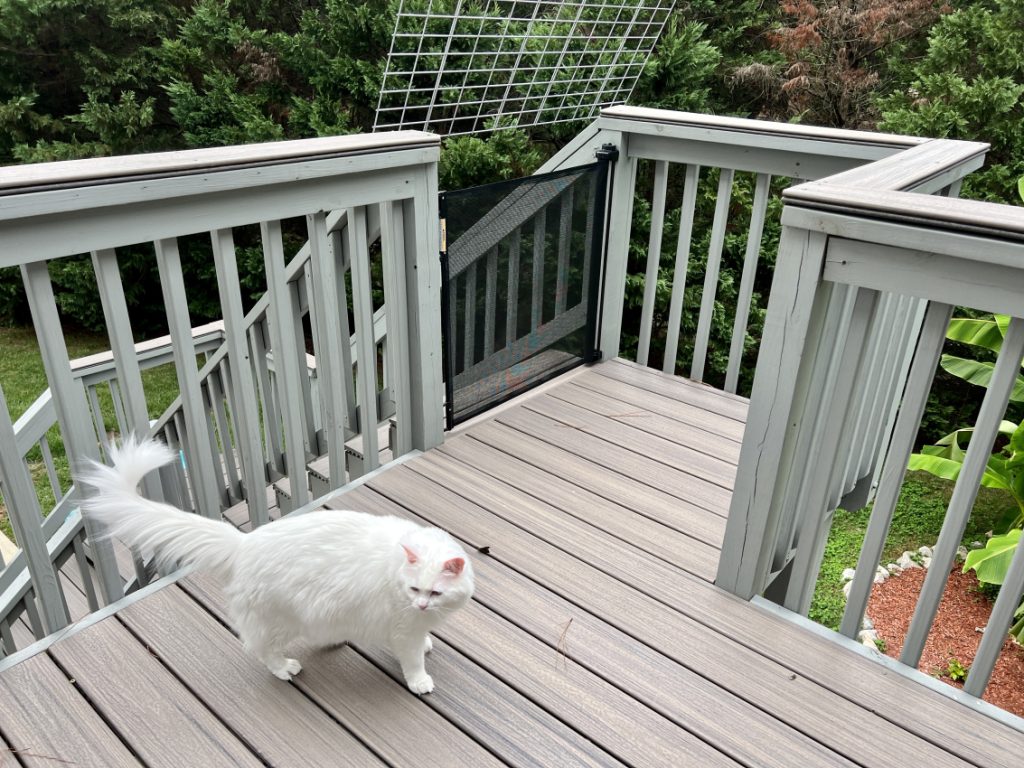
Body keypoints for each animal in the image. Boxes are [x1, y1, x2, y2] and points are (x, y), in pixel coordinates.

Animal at [77, 436, 473, 696]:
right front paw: (420, 681)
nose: (420, 604)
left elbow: (422, 640)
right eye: (415, 589)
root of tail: (244, 543)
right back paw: (285, 668)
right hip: (280, 621)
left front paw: (428, 642)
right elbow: (412, 659)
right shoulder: (403, 629)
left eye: (435, 592)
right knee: (259, 649)